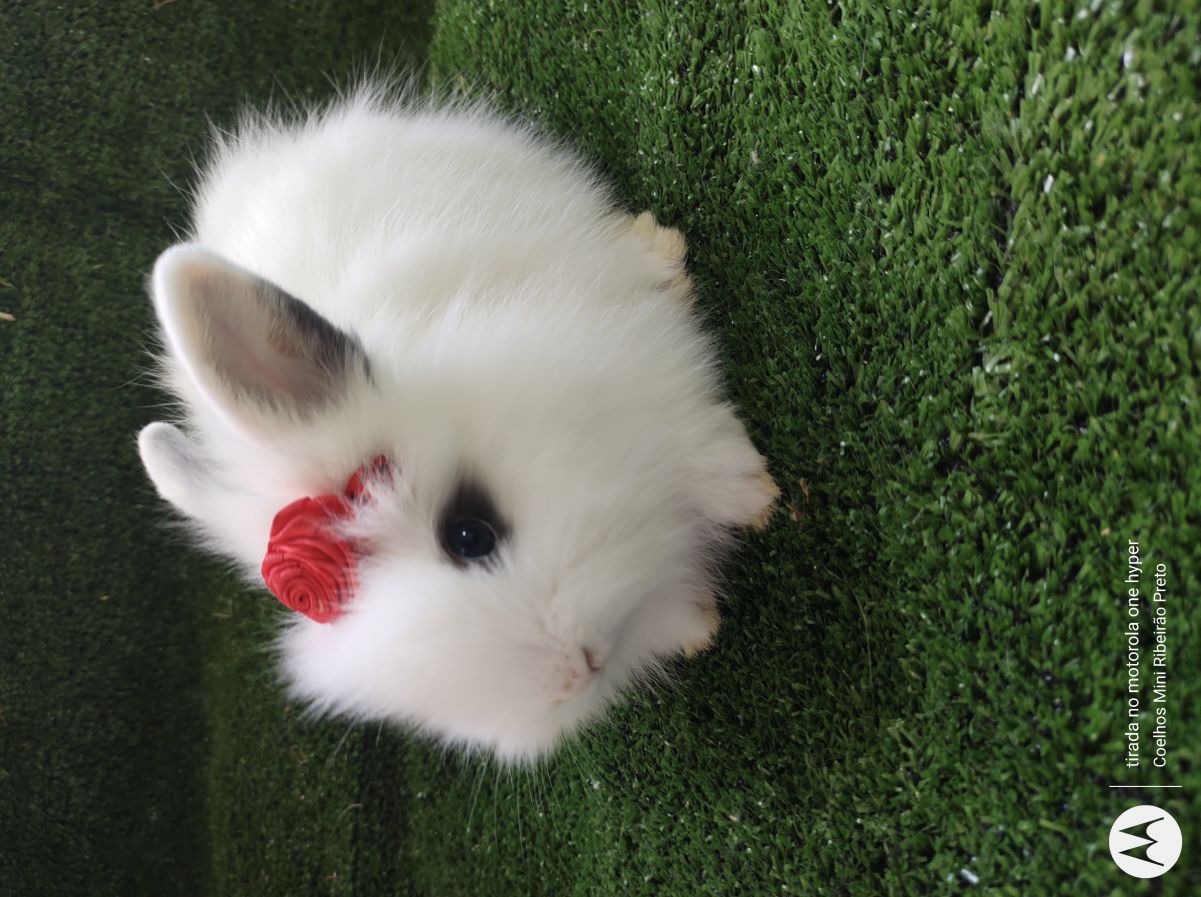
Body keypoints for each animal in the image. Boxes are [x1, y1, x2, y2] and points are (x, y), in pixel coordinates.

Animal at [137, 83, 778, 764]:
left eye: (469, 533)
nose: (571, 677)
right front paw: (697, 628)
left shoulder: (648, 367)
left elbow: (704, 456)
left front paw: (756, 498)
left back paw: (662, 253)